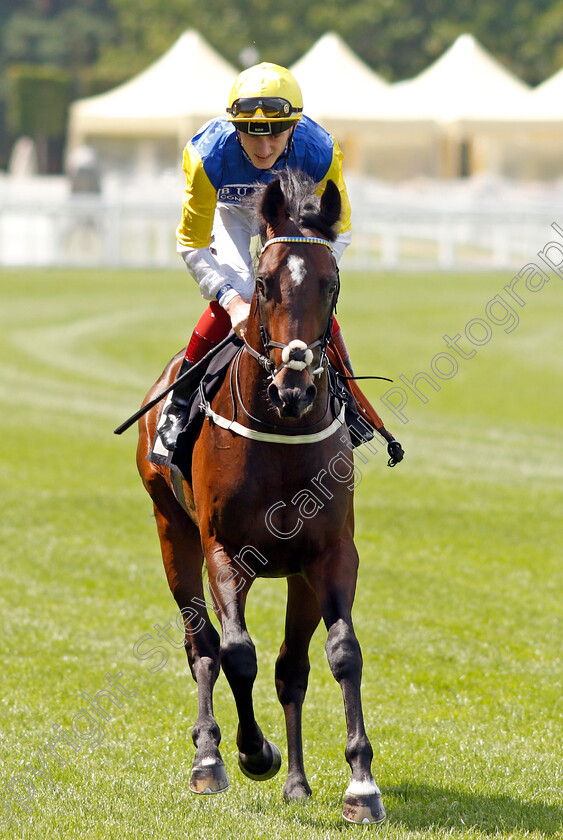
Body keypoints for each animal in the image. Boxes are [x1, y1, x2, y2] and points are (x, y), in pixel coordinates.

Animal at [135, 171, 388, 828]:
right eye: (266, 282)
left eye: (332, 284)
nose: (293, 386)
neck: (282, 433)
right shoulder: (224, 549)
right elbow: (235, 653)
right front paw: (254, 752)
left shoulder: (330, 554)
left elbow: (340, 653)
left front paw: (360, 783)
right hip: (172, 531)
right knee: (201, 645)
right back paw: (209, 758)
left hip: (296, 574)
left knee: (291, 668)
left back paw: (297, 782)